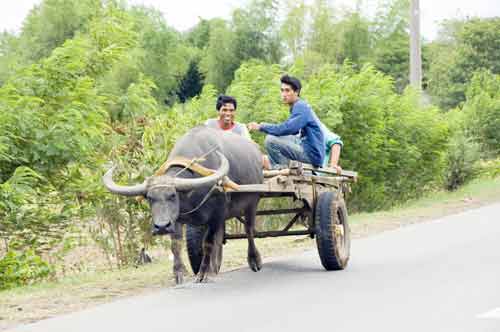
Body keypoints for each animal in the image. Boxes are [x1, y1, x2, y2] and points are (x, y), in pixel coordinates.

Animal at [103, 126, 264, 282]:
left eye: (173, 195)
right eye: (150, 198)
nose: (161, 227)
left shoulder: (216, 215)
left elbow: (208, 243)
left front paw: (203, 274)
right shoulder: (177, 219)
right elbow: (176, 245)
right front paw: (179, 273)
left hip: (252, 203)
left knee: (249, 230)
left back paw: (254, 260)